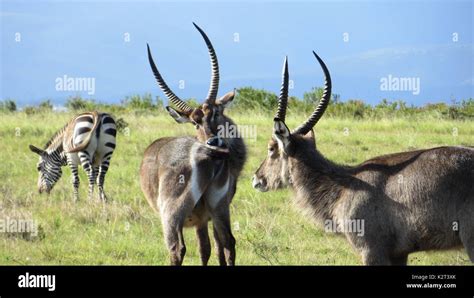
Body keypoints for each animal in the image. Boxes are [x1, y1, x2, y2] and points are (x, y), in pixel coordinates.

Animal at [139, 23, 246, 266]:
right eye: (196, 122)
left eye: (215, 113)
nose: (214, 141)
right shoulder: (202, 219)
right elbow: (206, 249)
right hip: (219, 207)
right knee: (229, 242)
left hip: (171, 213)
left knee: (177, 249)